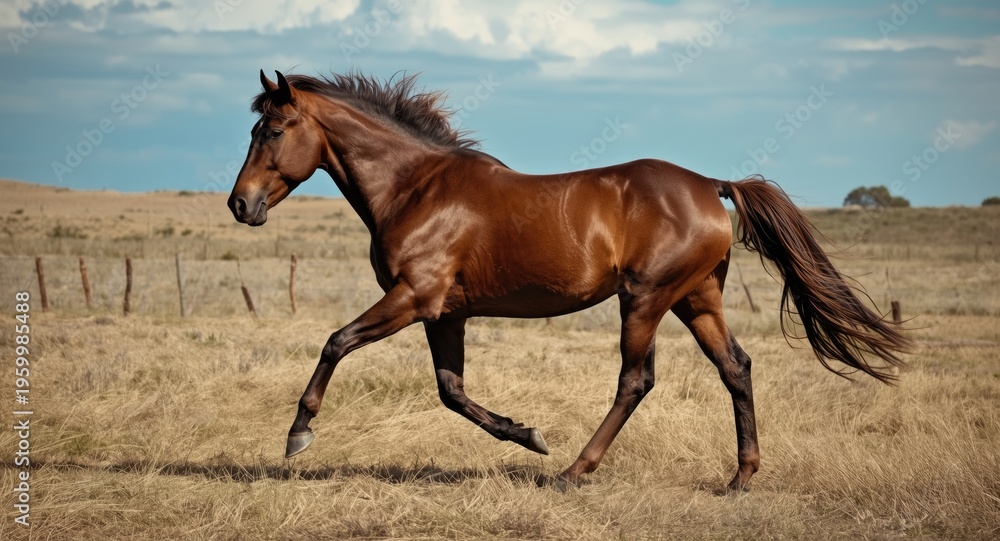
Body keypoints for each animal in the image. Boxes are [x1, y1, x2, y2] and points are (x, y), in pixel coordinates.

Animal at [227, 70, 910, 491]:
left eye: (274, 131)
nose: (240, 205)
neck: (415, 188)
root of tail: (710, 186)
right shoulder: (446, 311)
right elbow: (451, 391)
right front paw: (527, 435)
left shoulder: (413, 298)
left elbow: (336, 342)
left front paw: (298, 434)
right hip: (696, 298)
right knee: (735, 367)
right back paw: (740, 477)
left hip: (646, 299)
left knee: (636, 380)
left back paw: (577, 470)